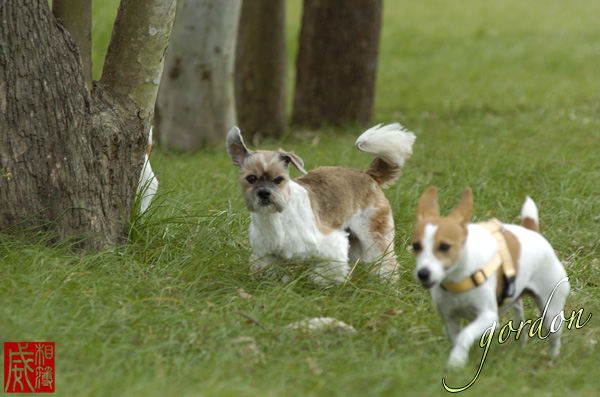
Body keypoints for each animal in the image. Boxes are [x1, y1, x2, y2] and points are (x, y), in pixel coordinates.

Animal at [227, 124, 414, 284]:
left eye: (278, 179)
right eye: (251, 178)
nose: (264, 193)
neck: (277, 218)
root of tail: (367, 175)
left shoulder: (331, 244)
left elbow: (325, 273)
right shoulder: (266, 254)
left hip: (374, 234)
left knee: (384, 262)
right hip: (353, 240)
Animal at [410, 187, 568, 366]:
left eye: (444, 247)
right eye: (416, 246)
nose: (423, 273)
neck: (458, 280)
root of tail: (533, 232)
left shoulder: (488, 317)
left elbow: (465, 334)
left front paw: (456, 362)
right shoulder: (450, 319)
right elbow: (457, 336)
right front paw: (458, 356)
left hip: (551, 311)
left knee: (554, 335)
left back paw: (553, 357)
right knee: (519, 316)